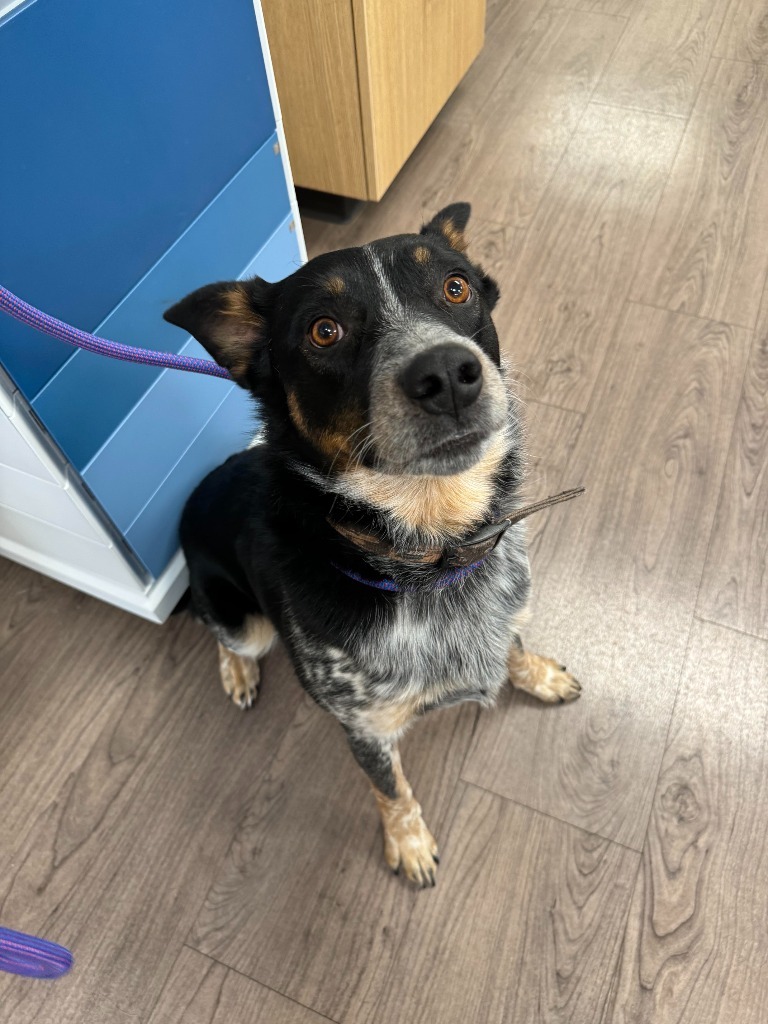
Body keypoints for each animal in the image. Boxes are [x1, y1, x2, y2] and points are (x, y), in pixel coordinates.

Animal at [165, 203, 581, 884]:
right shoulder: (364, 726)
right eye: (324, 330)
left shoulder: (500, 611)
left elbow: (514, 643)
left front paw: (539, 674)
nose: (447, 374)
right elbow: (393, 792)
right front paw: (408, 845)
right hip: (241, 618)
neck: (432, 558)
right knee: (223, 635)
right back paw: (238, 674)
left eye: (456, 287)